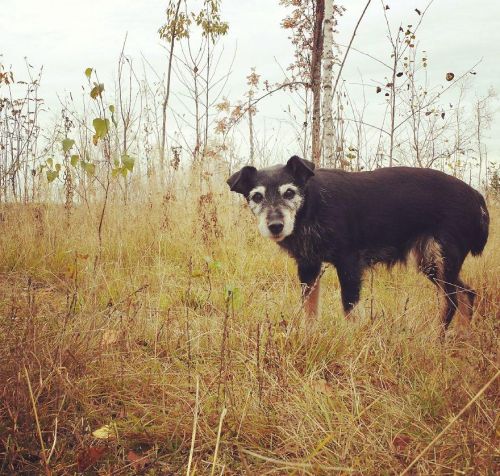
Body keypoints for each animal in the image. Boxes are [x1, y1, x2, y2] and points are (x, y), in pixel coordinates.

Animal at [229, 156, 490, 330]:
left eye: (290, 193)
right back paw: (463, 337)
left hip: (442, 257)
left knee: (451, 301)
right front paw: (309, 337)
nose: (275, 226)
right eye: (257, 197)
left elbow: (350, 310)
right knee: (467, 293)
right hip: (432, 263)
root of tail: (476, 196)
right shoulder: (308, 266)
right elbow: (310, 310)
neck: (312, 207)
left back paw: (436, 339)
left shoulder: (349, 264)